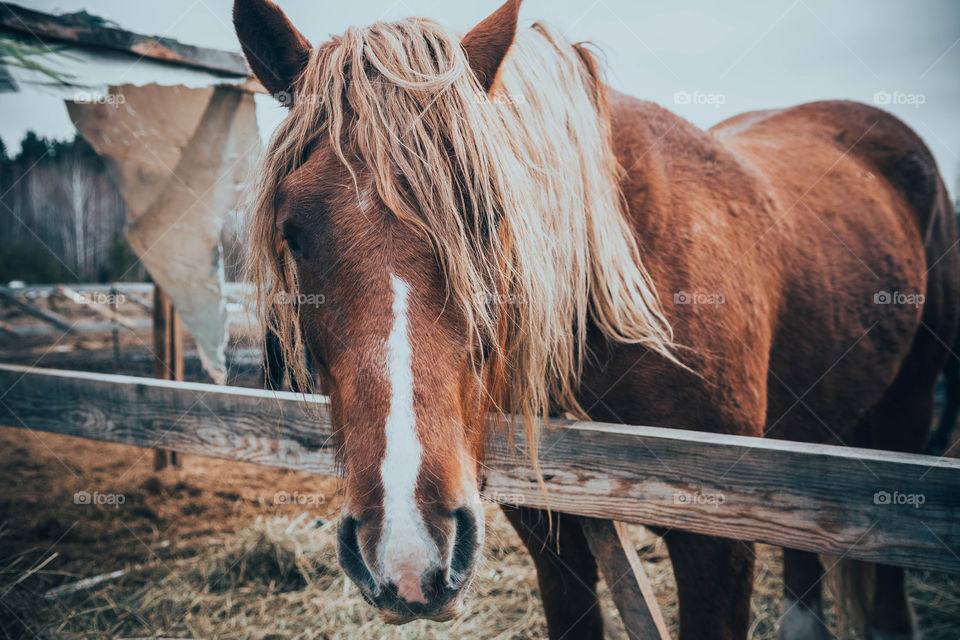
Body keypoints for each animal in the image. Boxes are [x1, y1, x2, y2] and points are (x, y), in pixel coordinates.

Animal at [234, 2, 960, 636]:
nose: (407, 552)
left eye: (490, 216)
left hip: (902, 415)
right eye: (293, 233)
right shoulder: (548, 526)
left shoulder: (717, 537)